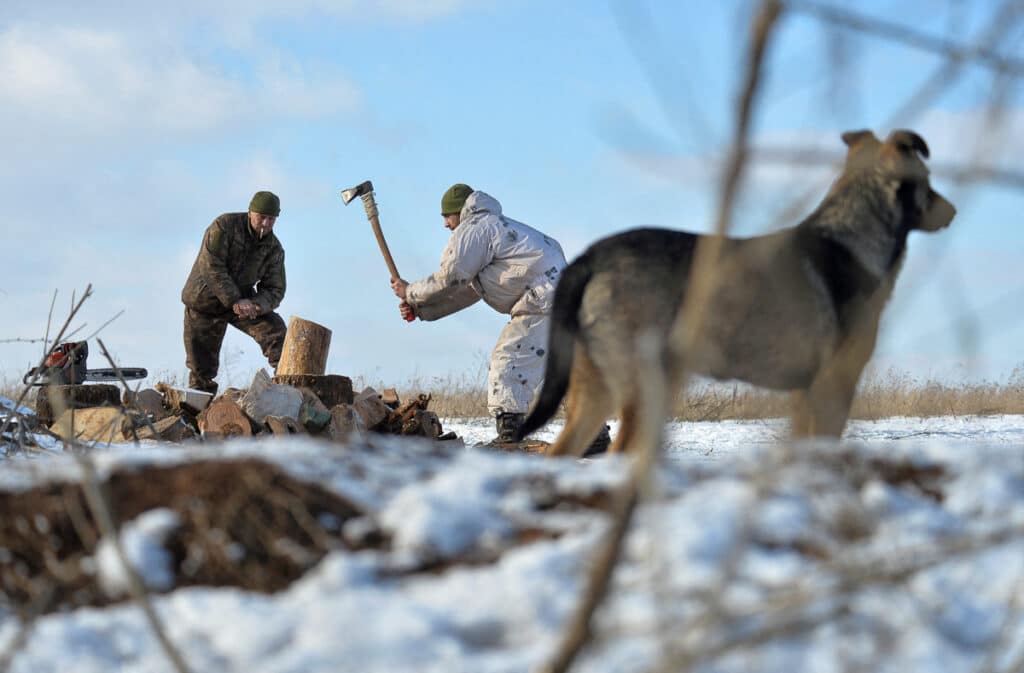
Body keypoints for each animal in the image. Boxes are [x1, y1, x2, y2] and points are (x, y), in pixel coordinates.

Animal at [516, 130, 954, 456]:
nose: (952, 211)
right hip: (645, 385)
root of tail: (593, 256)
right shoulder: (835, 383)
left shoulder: (806, 392)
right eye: (929, 181)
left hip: (596, 389)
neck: (853, 236)